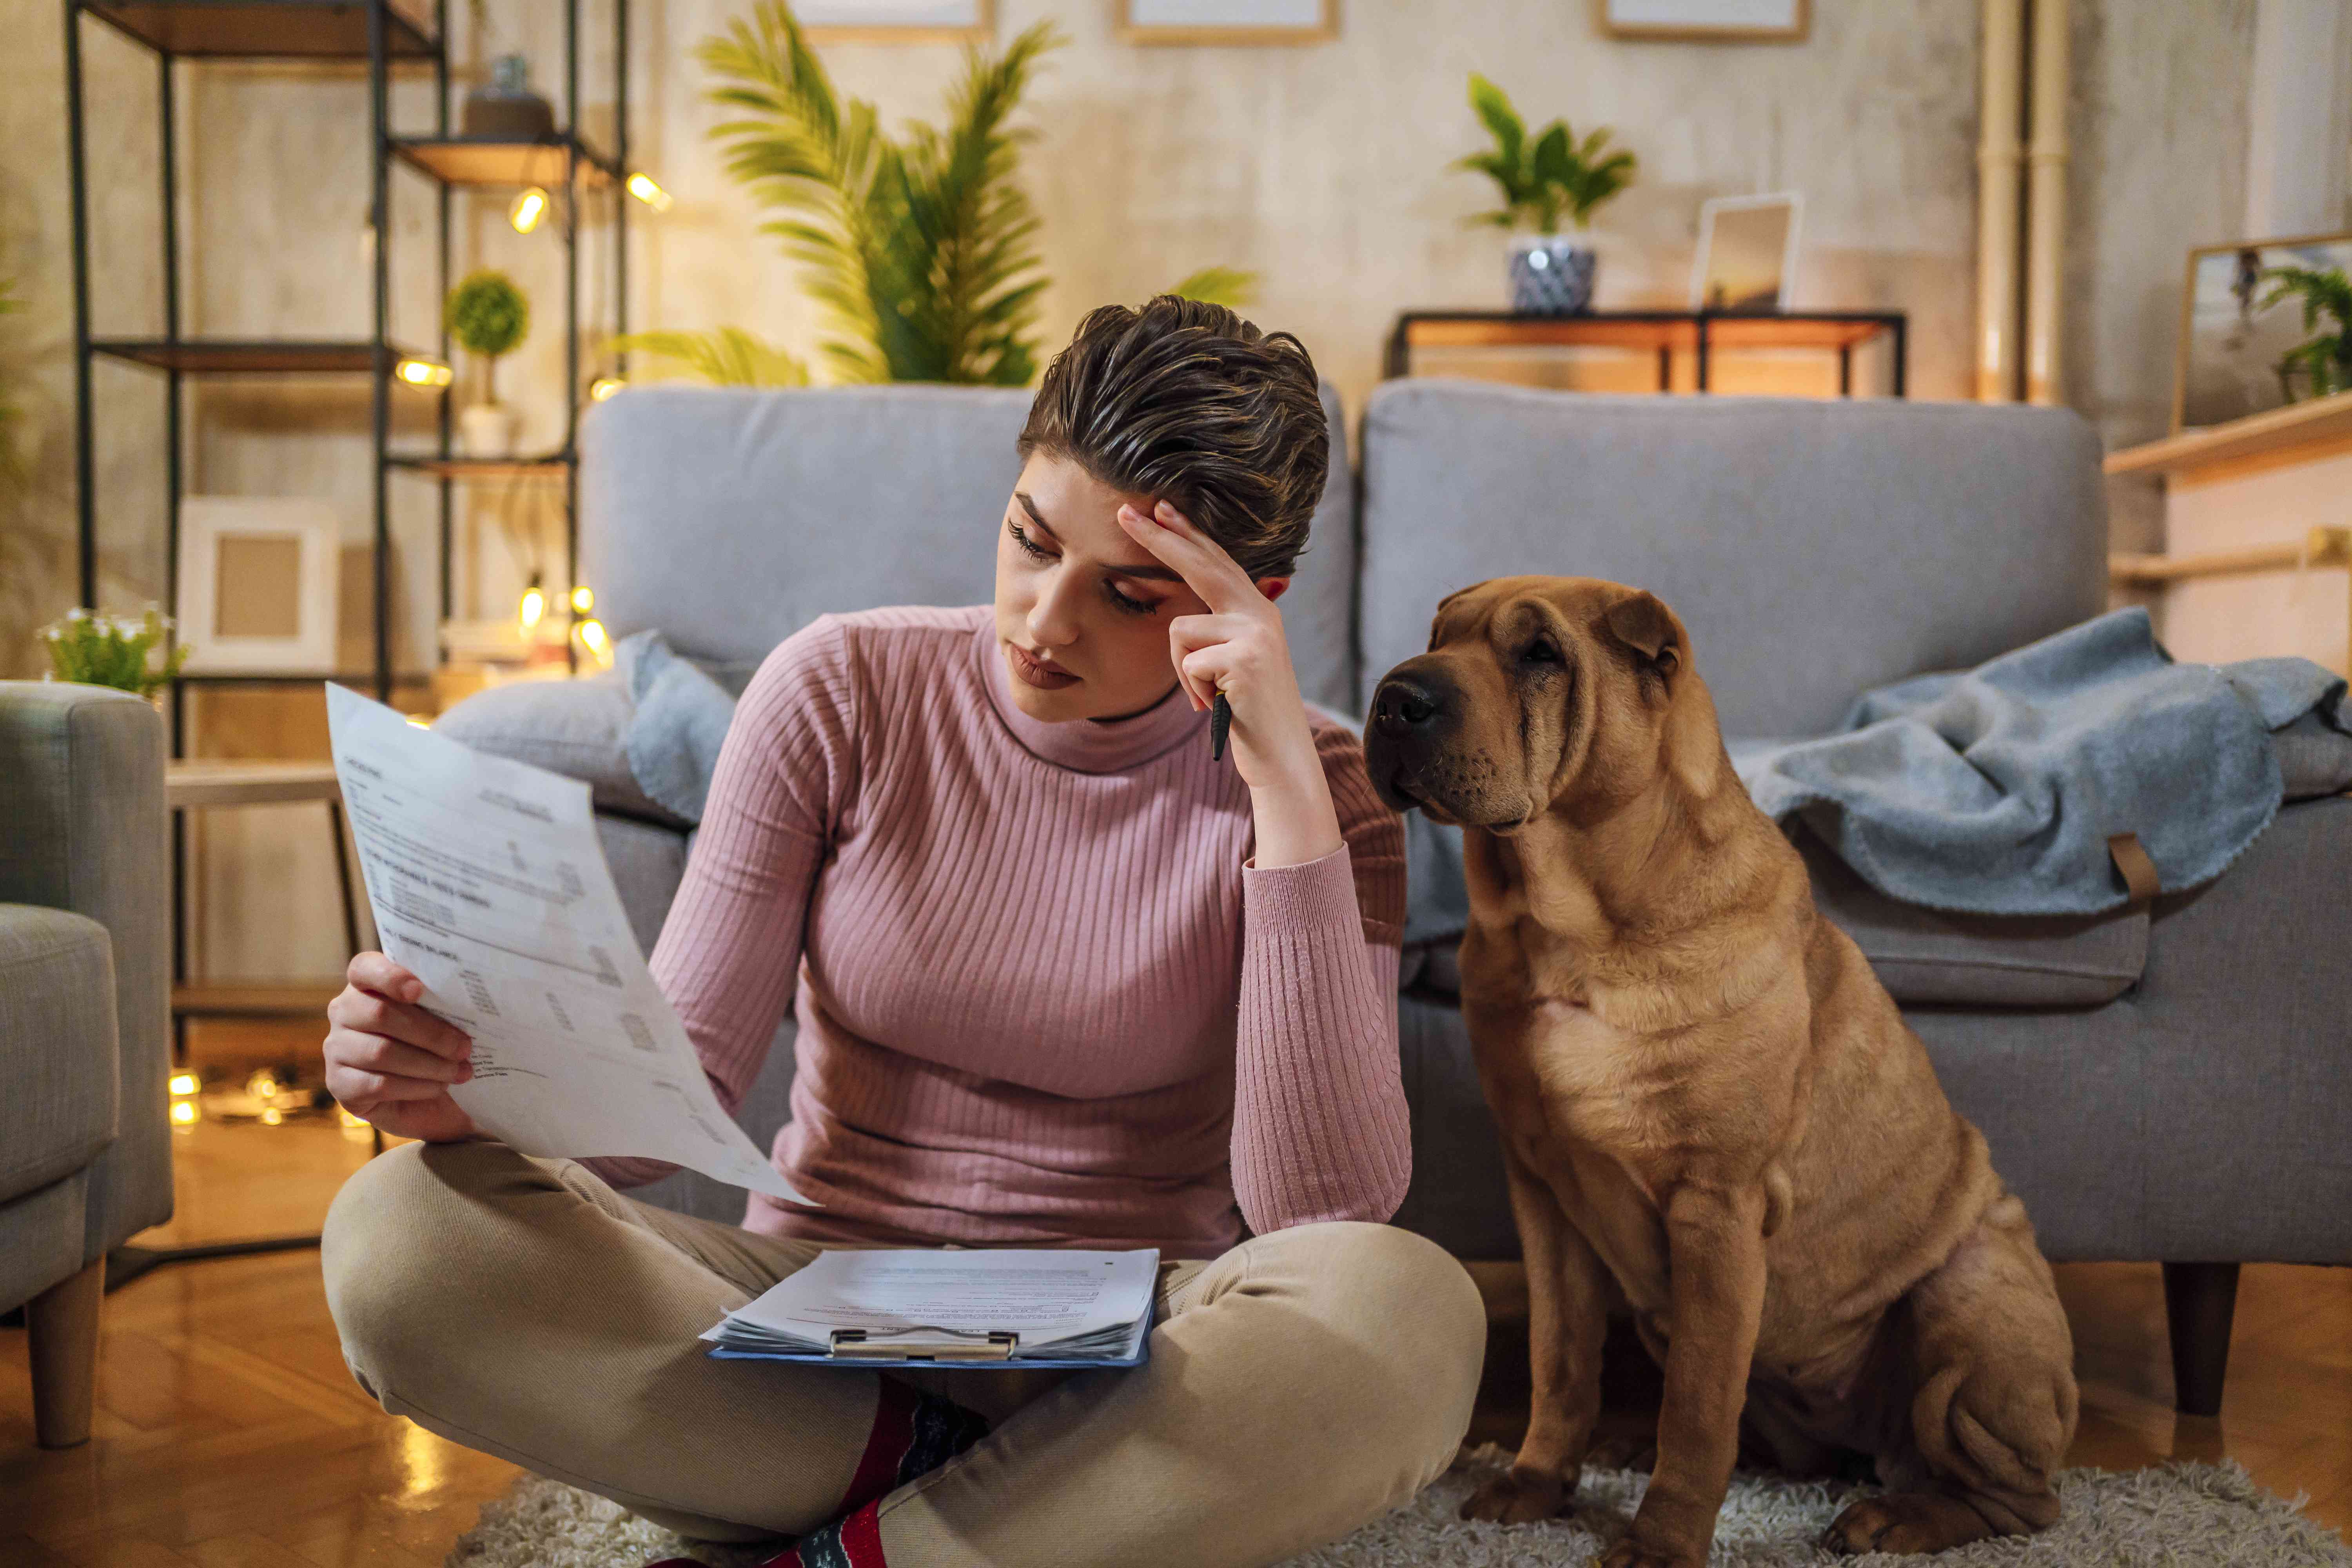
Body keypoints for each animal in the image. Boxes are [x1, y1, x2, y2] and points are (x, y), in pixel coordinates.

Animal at [1364, 581, 2079, 1568]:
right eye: (1438, 636)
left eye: (1540, 653)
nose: (1396, 697)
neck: (1571, 929)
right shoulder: (1544, 1194)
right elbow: (1562, 1355)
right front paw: (1537, 1483)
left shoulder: (1715, 1203)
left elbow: (1701, 1405)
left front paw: (1658, 1541)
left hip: (1967, 1310)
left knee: (2017, 1498)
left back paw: (1896, 1517)